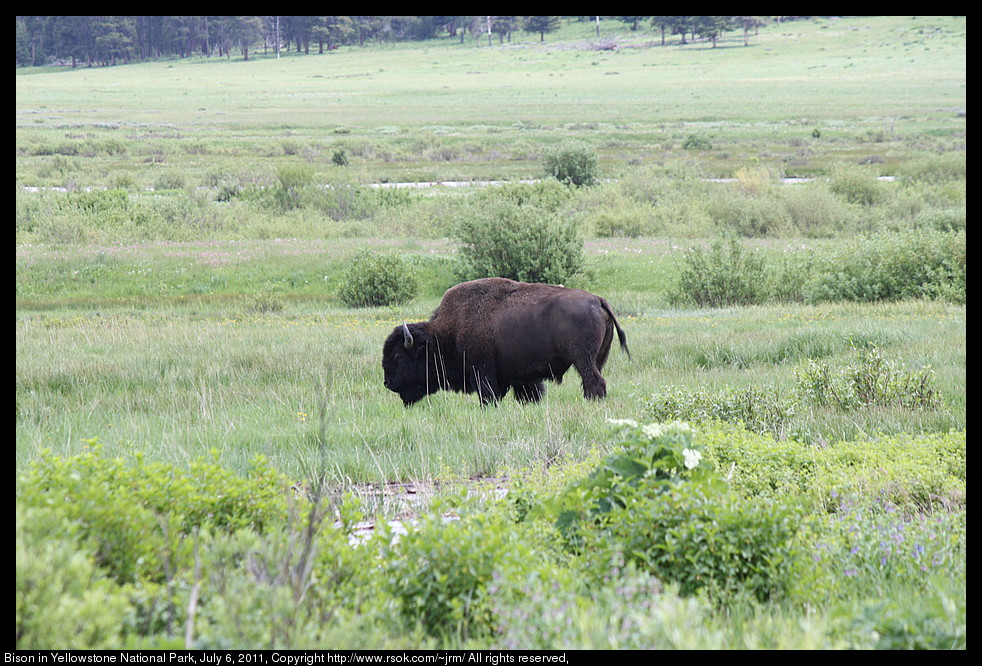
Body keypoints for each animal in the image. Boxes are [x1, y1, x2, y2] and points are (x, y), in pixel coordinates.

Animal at [380, 276, 628, 404]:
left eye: (398, 356)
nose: (387, 383)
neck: (446, 333)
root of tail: (597, 300)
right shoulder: (525, 378)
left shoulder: (483, 373)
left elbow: (489, 397)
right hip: (597, 359)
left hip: (582, 360)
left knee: (594, 382)